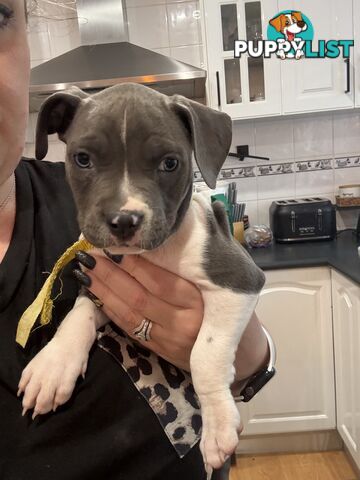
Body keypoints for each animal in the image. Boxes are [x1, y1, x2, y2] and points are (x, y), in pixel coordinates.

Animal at [18, 83, 264, 472]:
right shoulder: (99, 273)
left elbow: (204, 353)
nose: (123, 220)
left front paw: (218, 426)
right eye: (82, 159)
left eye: (169, 163)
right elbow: (78, 315)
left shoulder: (239, 278)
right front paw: (53, 365)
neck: (153, 254)